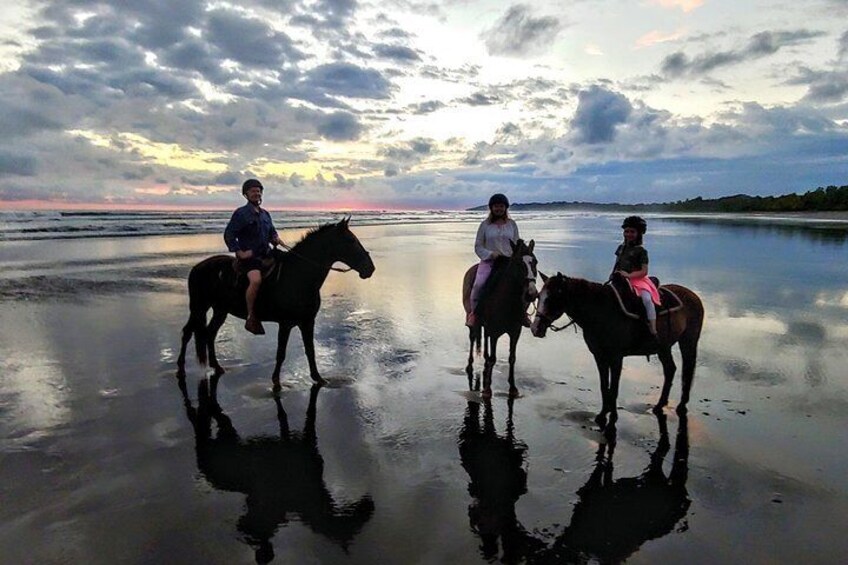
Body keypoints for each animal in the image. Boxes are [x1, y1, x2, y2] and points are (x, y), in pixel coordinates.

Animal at [176, 218, 374, 390]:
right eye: (350, 241)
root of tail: (197, 267)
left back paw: (217, 367)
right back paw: (180, 368)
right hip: (199, 307)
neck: (299, 276)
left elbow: (310, 350)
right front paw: (276, 383)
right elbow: (281, 353)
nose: (370, 268)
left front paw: (318, 378)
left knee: (210, 334)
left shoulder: (307, 322)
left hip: (220, 310)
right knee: (187, 332)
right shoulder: (285, 324)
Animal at [460, 240, 540, 398]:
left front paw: (513, 387)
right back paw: (470, 365)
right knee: (472, 338)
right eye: (518, 263)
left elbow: (512, 358)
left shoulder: (515, 332)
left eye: (535, 262)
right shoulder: (495, 332)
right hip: (473, 321)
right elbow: (493, 358)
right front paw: (487, 389)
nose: (531, 293)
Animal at [528, 272, 704, 428]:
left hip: (688, 342)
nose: (535, 328)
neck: (601, 311)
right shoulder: (599, 356)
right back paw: (660, 404)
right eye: (539, 296)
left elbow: (614, 388)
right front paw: (602, 414)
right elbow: (604, 386)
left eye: (552, 298)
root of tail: (694, 296)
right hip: (663, 347)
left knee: (687, 371)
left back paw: (681, 405)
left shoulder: (616, 358)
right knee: (670, 370)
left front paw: (612, 416)